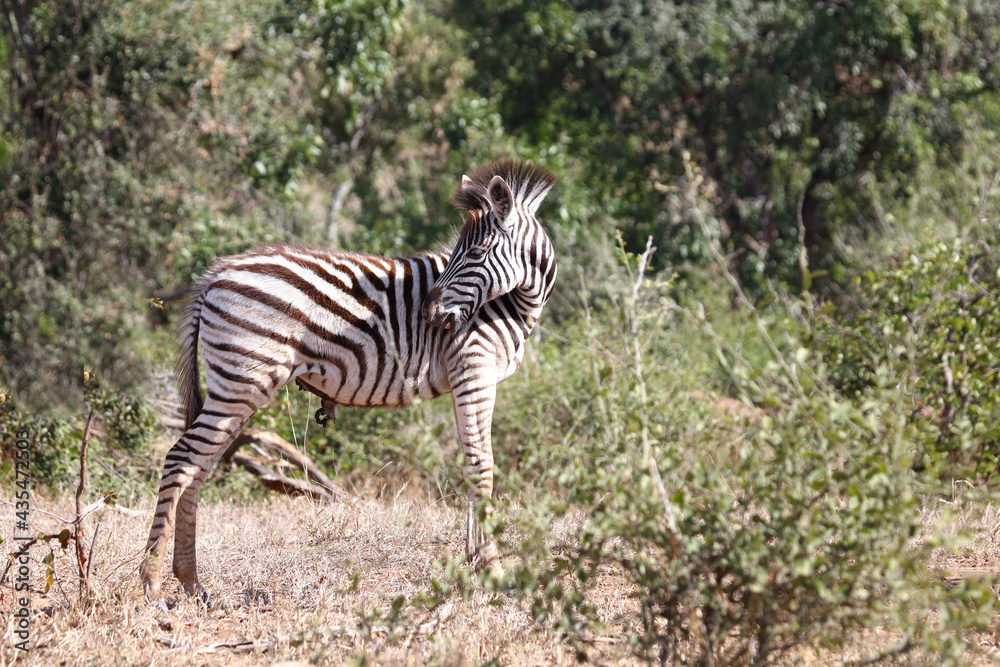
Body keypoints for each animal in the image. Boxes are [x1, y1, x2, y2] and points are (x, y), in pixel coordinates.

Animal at [140, 160, 558, 601]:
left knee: (198, 467)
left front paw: (473, 560)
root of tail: (213, 275)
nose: (429, 314)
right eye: (460, 253)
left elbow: (470, 462)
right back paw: (152, 583)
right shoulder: (475, 369)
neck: (509, 302)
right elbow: (482, 465)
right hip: (242, 381)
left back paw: (191, 582)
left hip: (235, 386)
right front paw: (493, 567)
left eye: (476, 252)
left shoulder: (470, 376)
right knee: (181, 459)